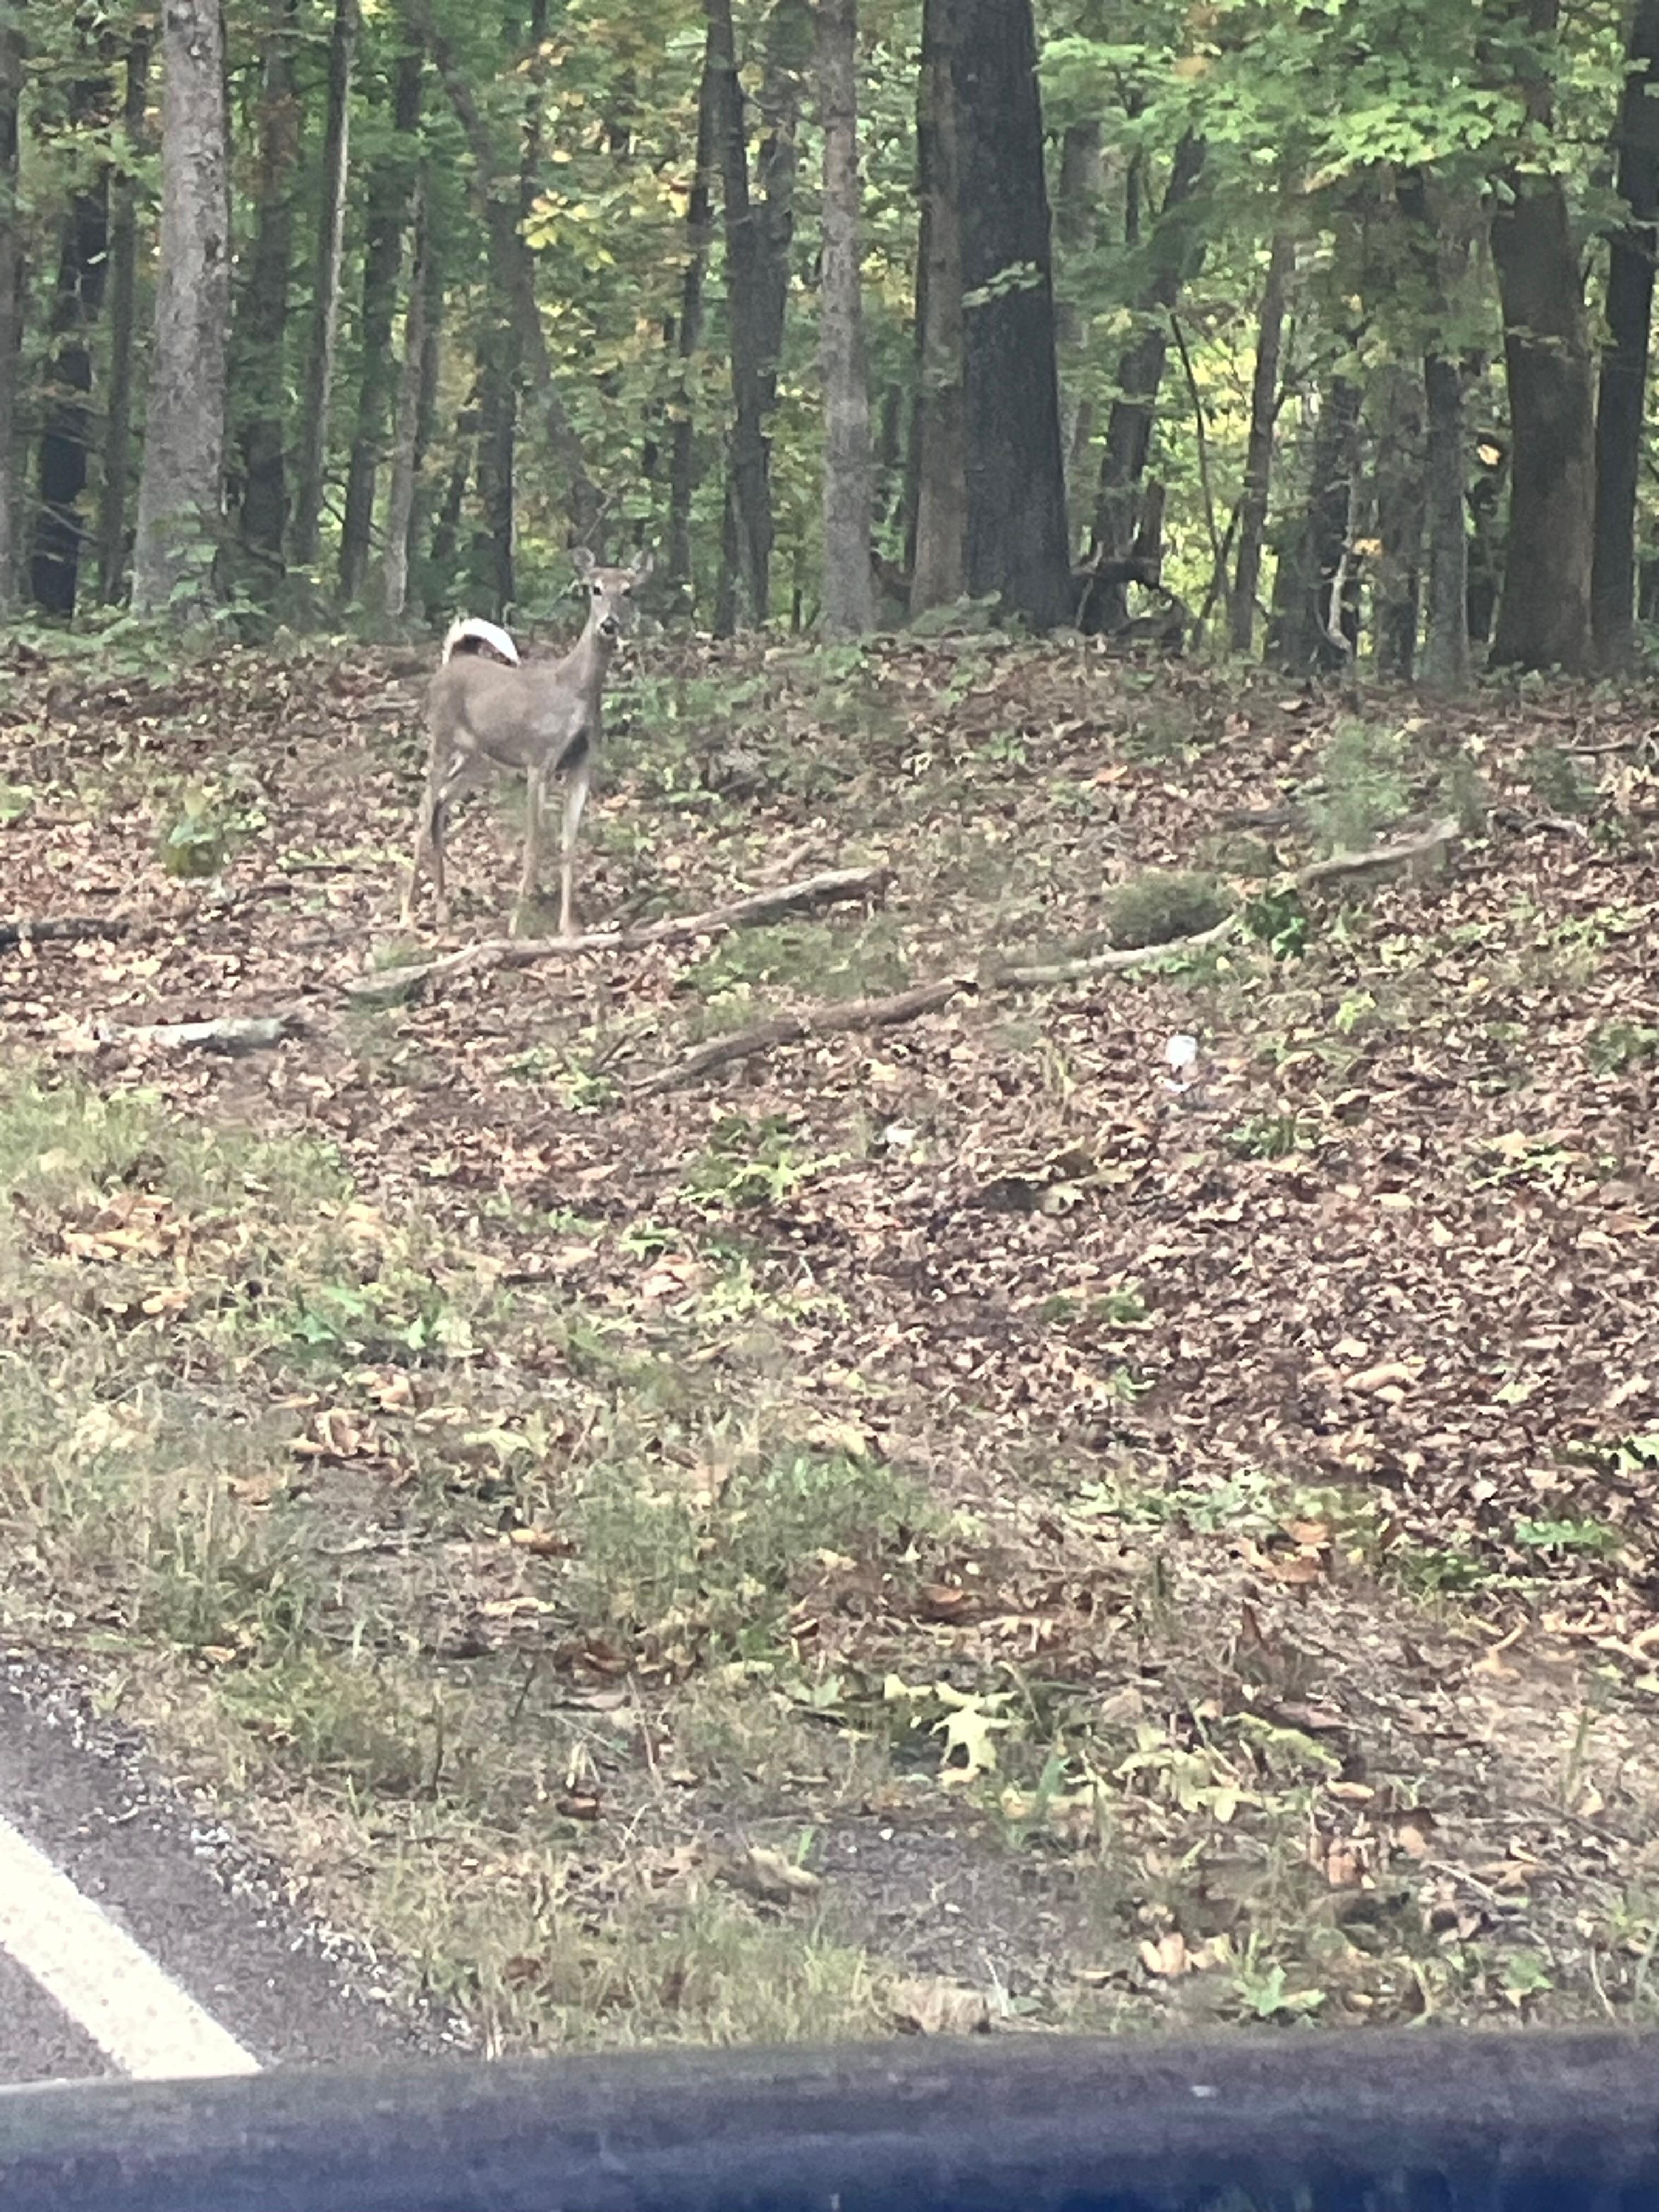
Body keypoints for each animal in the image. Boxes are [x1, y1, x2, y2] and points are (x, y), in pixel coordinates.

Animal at [401, 546, 651, 938]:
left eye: (629, 591)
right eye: (594, 588)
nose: (609, 625)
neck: (575, 691)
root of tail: (452, 660)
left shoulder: (582, 764)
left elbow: (569, 844)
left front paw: (567, 926)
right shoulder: (540, 760)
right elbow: (533, 844)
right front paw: (516, 925)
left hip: (478, 758)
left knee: (440, 806)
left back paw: (442, 910)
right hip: (440, 737)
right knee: (424, 808)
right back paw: (407, 913)